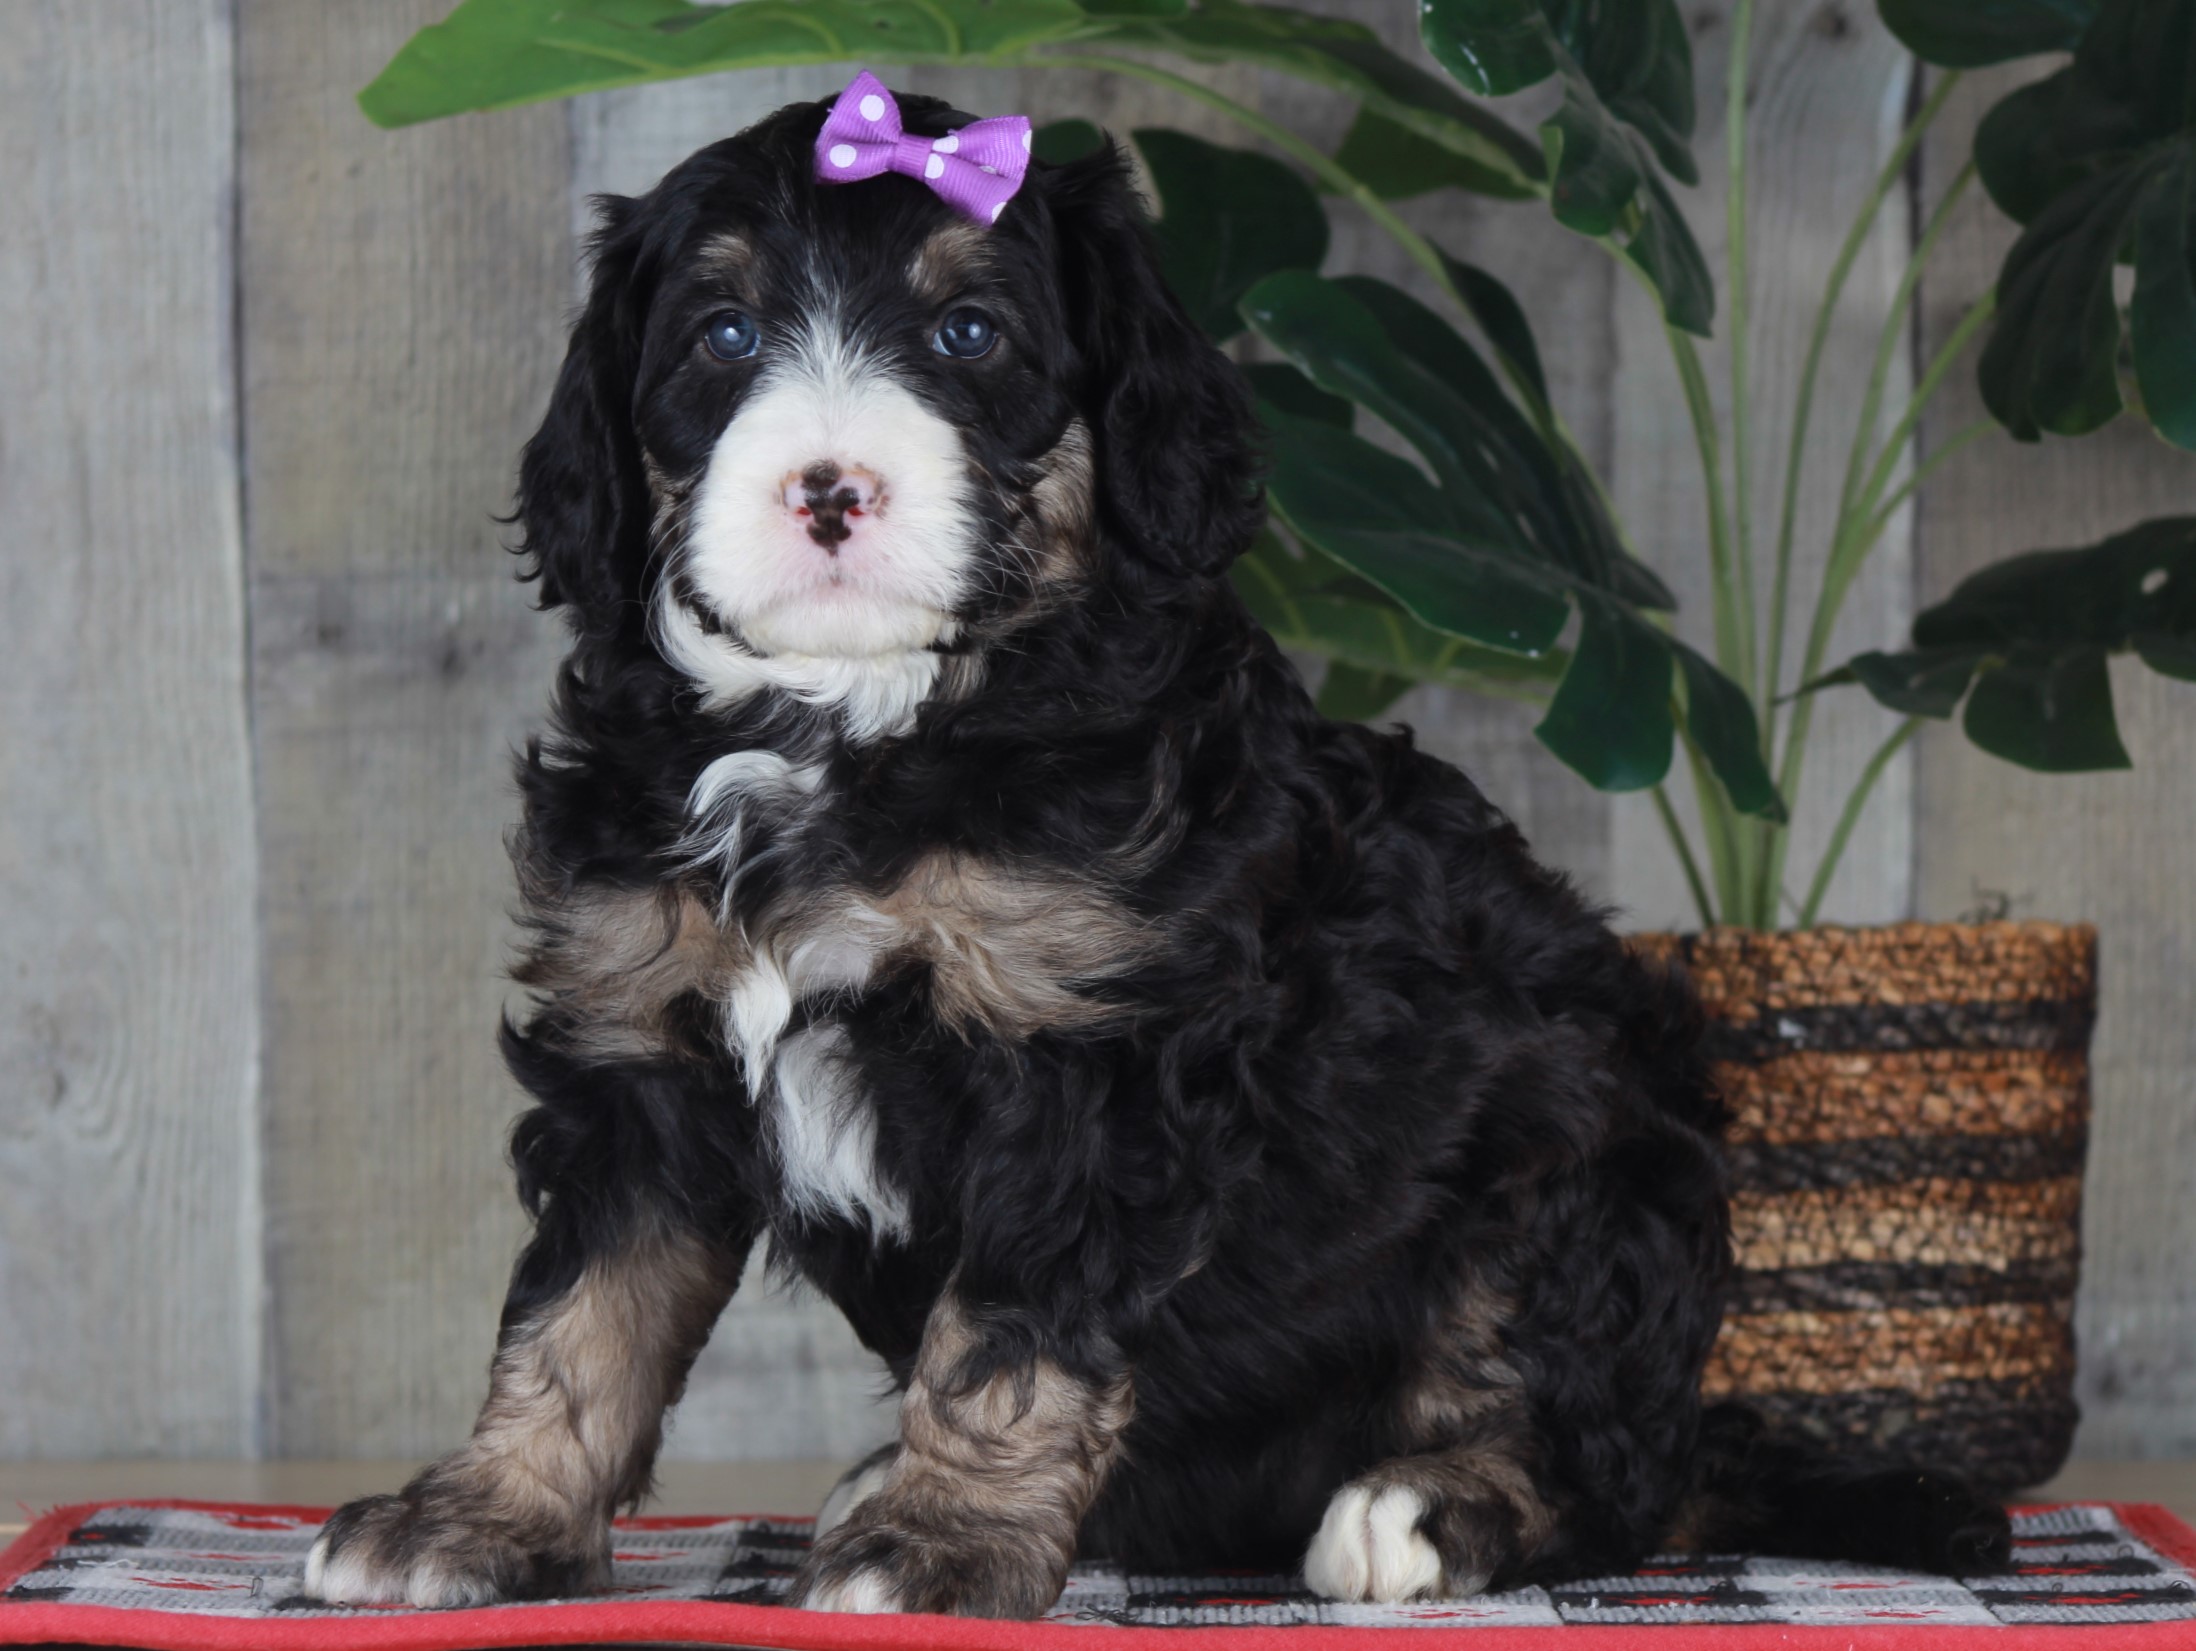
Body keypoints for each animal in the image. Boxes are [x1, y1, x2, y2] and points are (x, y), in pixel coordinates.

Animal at [301, 81, 2011, 1618]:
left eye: (968, 336)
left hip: (1575, 1171)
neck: (852, 727)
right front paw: (482, 1513)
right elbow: (578, 1310)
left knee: (1601, 1465)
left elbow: (1007, 1334)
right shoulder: (639, 1031)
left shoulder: (1087, 1056)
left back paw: (1426, 1504)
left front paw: (942, 1543)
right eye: (720, 338)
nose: (829, 486)